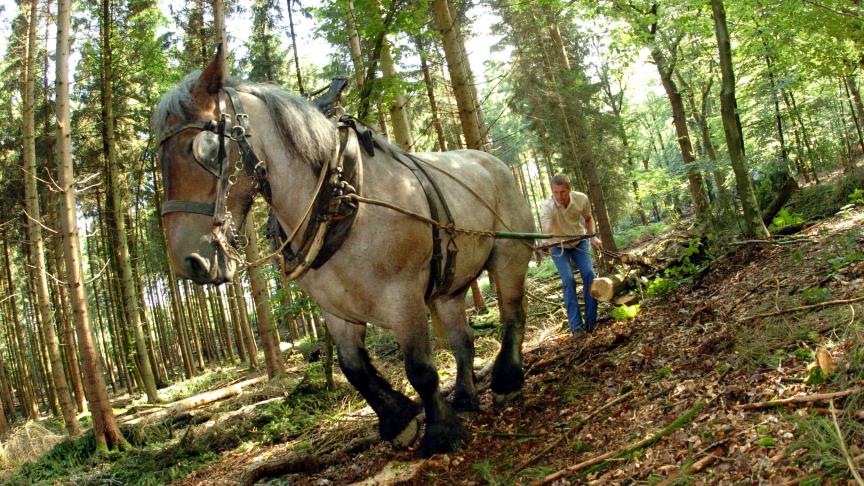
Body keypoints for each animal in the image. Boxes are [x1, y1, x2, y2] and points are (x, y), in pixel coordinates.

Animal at [153, 51, 536, 458]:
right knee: (463, 338)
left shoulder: (404, 298)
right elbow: (352, 366)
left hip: (509, 254)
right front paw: (399, 418)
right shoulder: (335, 309)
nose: (189, 262)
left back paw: (507, 381)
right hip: (450, 285)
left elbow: (420, 369)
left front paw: (441, 433)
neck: (337, 202)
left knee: (513, 313)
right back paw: (464, 395)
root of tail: (493, 162)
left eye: (206, 150)